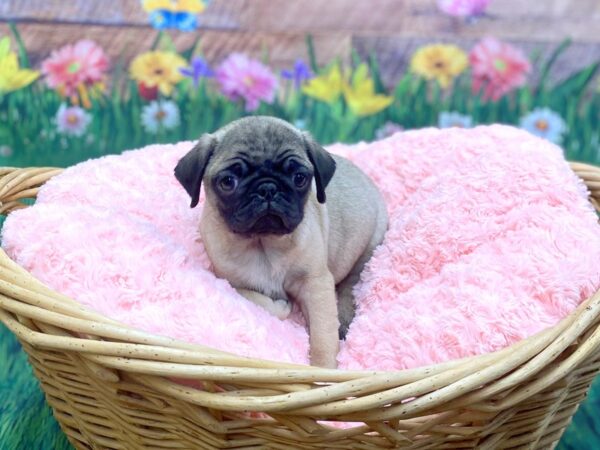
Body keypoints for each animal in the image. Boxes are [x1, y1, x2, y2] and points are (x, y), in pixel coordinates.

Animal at [173, 115, 390, 366]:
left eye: (299, 178)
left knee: (348, 288)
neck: (264, 243)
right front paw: (281, 304)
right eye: (228, 181)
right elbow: (263, 303)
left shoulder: (316, 283)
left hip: (368, 250)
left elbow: (323, 334)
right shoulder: (231, 283)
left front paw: (323, 369)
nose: (268, 188)